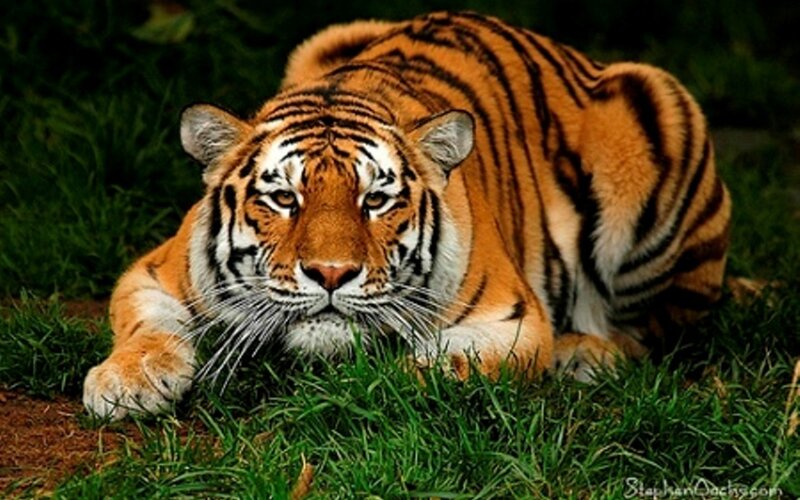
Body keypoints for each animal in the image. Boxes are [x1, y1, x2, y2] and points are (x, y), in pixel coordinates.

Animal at [83, 11, 731, 420]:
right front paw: (124, 383)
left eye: (376, 200)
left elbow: (440, 367)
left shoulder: (513, 320)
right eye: (285, 199)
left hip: (657, 112)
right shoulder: (153, 271)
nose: (331, 274)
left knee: (657, 332)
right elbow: (147, 326)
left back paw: (585, 354)